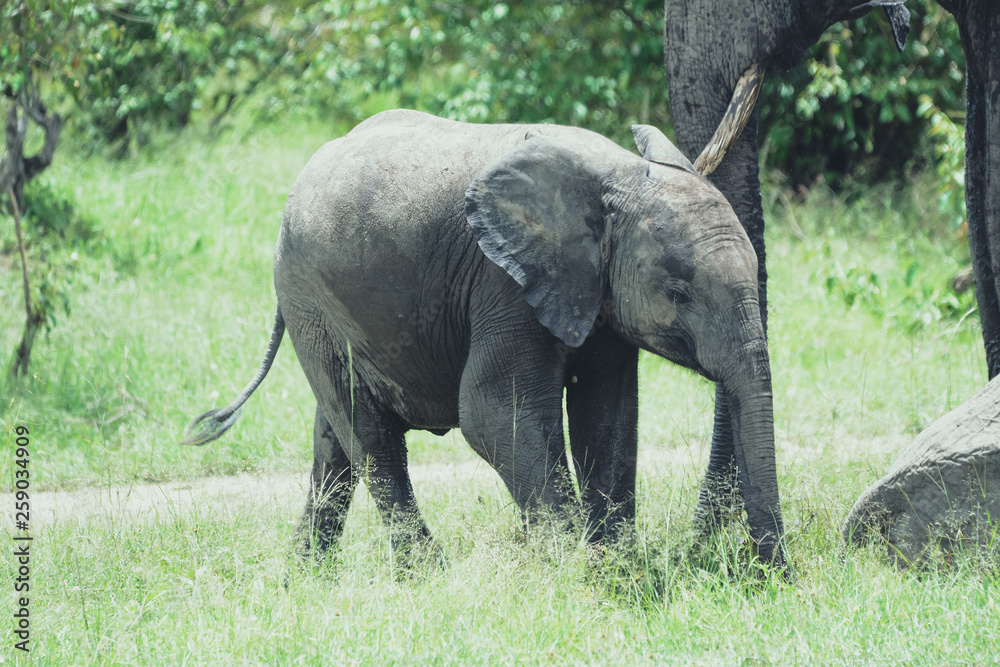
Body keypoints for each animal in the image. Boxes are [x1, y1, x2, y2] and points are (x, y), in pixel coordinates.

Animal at [182, 109, 788, 570]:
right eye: (679, 292)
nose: (769, 576)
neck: (616, 173)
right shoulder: (504, 284)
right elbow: (495, 413)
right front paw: (577, 576)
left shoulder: (597, 292)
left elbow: (608, 416)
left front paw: (614, 571)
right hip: (307, 294)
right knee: (370, 437)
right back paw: (428, 579)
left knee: (333, 442)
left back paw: (305, 580)